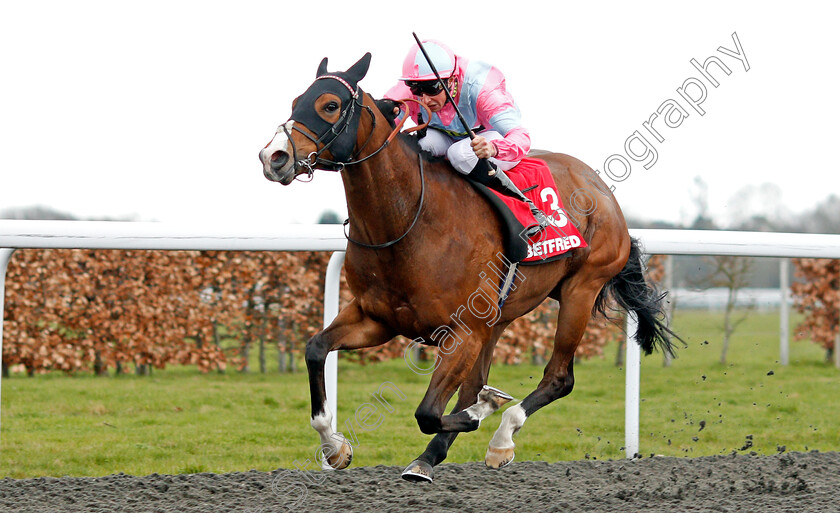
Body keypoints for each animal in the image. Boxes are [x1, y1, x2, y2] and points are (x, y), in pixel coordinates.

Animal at [256, 53, 676, 480]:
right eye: (295, 102)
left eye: (330, 105)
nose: (273, 157)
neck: (409, 222)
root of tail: (601, 189)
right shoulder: (375, 318)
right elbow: (315, 349)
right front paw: (335, 447)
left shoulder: (462, 331)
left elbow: (428, 412)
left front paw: (484, 412)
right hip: (498, 316)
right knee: (478, 381)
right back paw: (430, 457)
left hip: (580, 290)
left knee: (559, 378)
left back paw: (501, 438)